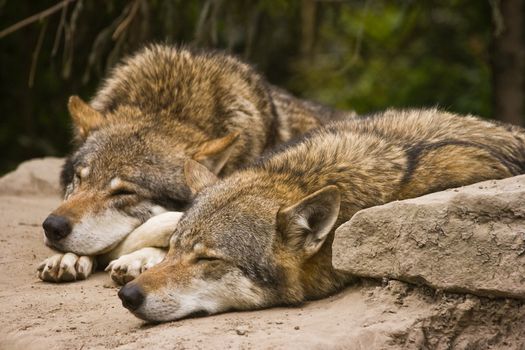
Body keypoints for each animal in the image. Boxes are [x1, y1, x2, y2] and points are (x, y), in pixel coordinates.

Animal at [36, 43, 352, 284]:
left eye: (124, 192)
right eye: (79, 179)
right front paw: (66, 256)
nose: (52, 226)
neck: (169, 106)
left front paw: (138, 258)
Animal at [117, 108, 524, 322]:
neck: (301, 177)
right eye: (176, 250)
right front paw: (135, 255)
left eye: (207, 259)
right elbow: (159, 223)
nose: (128, 295)